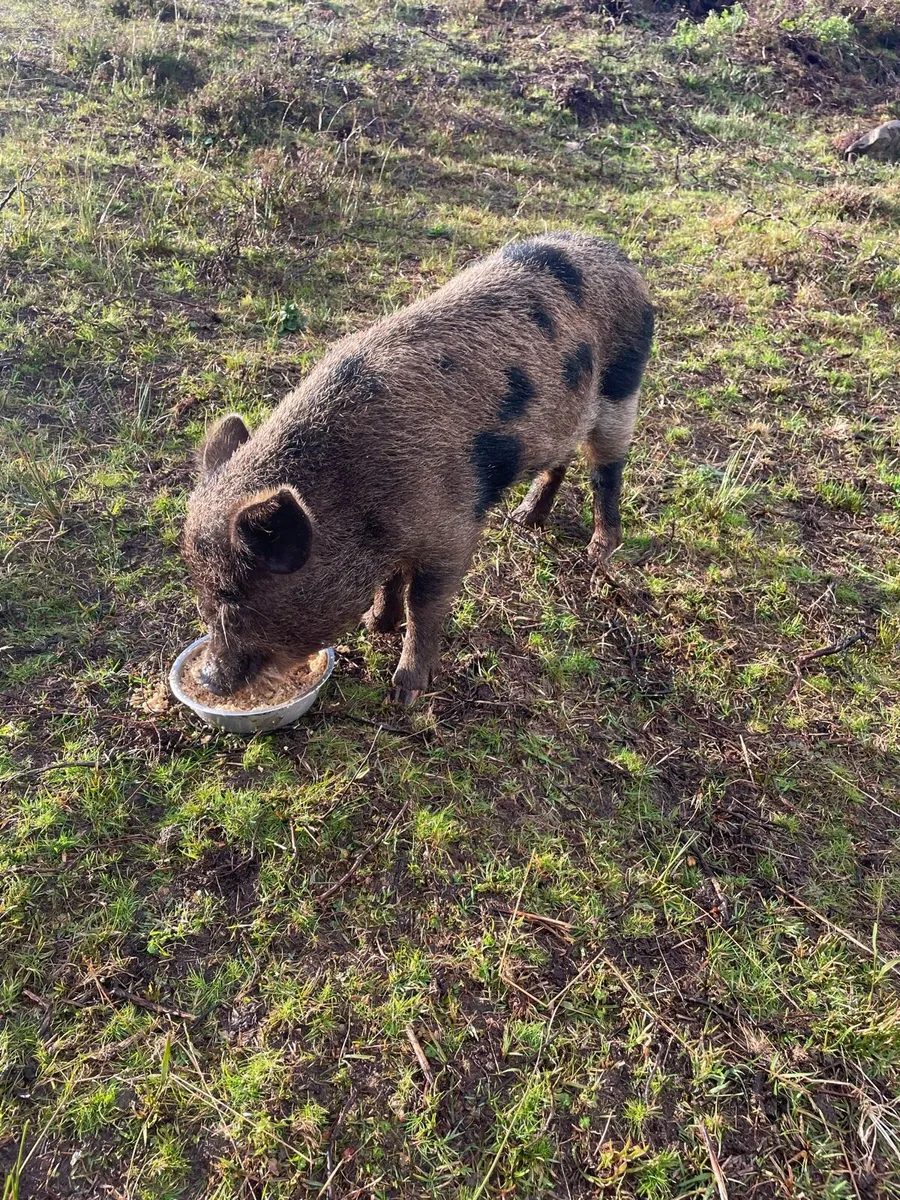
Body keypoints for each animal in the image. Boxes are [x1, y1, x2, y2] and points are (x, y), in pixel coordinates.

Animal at [182, 233, 654, 704]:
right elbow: (392, 579)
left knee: (607, 469)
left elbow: (423, 604)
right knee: (563, 459)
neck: (354, 493)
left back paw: (598, 552)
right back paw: (524, 520)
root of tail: (615, 254)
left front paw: (404, 693)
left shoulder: (452, 532)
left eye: (234, 598)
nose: (207, 679)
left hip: (622, 386)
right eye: (203, 594)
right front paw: (376, 624)